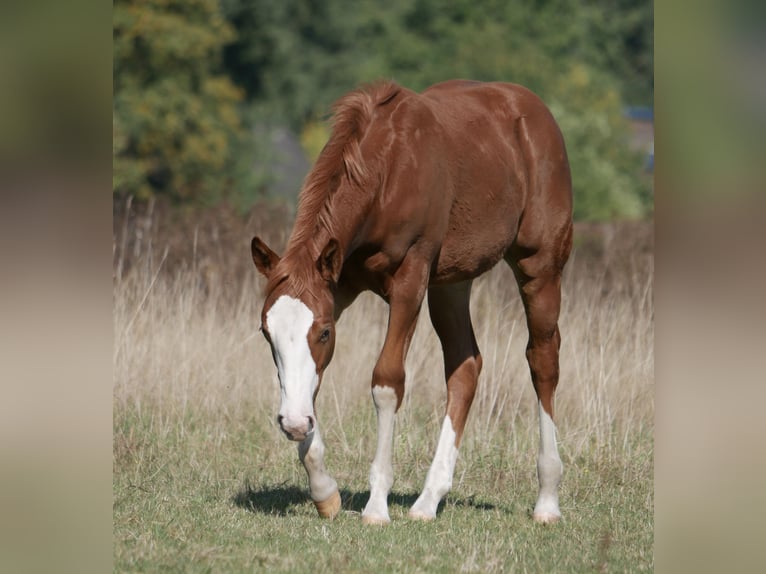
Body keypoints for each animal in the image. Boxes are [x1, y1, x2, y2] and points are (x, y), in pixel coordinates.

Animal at [250, 79, 573, 524]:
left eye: (324, 332)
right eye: (266, 333)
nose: (293, 423)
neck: (388, 170)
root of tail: (536, 112)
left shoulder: (409, 280)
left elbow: (387, 381)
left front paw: (376, 505)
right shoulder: (338, 285)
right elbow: (310, 381)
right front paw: (324, 491)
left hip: (539, 266)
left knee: (543, 360)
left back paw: (547, 500)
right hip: (451, 282)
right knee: (465, 366)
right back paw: (428, 499)